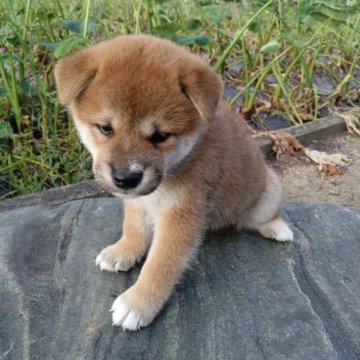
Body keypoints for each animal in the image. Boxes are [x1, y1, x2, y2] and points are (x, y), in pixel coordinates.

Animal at [54, 35, 294, 330]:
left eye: (160, 136)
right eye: (105, 128)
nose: (126, 179)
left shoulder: (182, 215)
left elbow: (160, 263)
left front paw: (138, 303)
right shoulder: (139, 202)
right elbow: (133, 229)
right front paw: (123, 251)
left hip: (269, 190)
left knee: (264, 216)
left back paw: (277, 229)